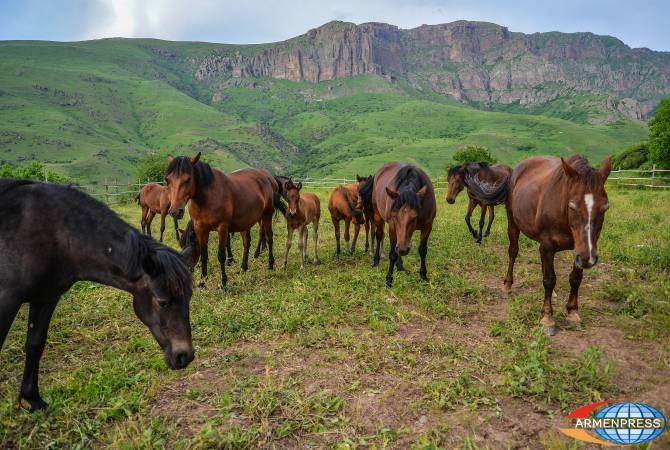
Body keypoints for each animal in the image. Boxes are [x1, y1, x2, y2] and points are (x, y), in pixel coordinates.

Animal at [0, 180, 194, 412]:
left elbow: (35, 345)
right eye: (162, 302)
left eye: (189, 298)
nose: (184, 356)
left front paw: (33, 399)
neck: (56, 234)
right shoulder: (7, 299)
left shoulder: (45, 299)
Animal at [167, 152, 286, 288]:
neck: (207, 197)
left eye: (188, 179)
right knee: (247, 242)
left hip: (266, 216)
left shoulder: (222, 227)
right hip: (246, 222)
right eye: (167, 180)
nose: (175, 211)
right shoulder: (200, 228)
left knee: (269, 237)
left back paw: (270, 264)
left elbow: (221, 255)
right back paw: (243, 268)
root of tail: (267, 178)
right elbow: (204, 254)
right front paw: (203, 281)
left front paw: (223, 283)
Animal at [504, 155, 616, 334]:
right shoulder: (549, 245)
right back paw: (508, 284)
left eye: (605, 207)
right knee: (513, 251)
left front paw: (572, 313)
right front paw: (547, 318)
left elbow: (575, 278)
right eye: (572, 206)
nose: (589, 260)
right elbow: (549, 279)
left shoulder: (580, 250)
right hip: (512, 222)